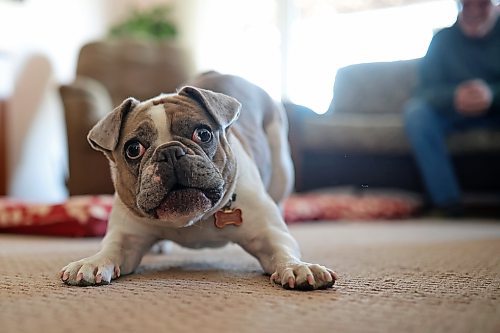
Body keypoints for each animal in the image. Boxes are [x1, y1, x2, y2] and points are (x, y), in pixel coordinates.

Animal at [60, 72, 338, 288]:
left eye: (203, 134)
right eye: (133, 149)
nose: (170, 151)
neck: (191, 221)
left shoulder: (268, 234)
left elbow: (282, 249)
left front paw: (299, 267)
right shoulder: (126, 237)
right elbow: (111, 249)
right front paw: (92, 262)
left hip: (282, 166)